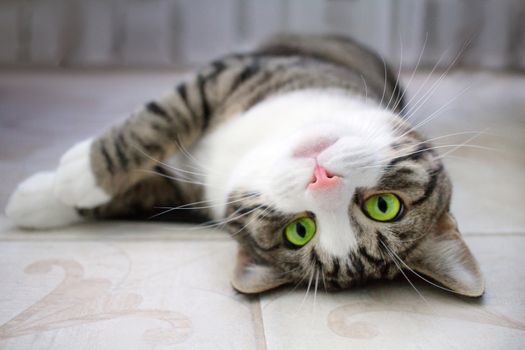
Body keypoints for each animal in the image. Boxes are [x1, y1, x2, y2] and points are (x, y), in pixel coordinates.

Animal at [4, 35, 484, 296]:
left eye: (299, 230)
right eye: (385, 207)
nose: (323, 180)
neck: (254, 147)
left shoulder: (182, 196)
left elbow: (140, 187)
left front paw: (63, 186)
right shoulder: (233, 75)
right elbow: (163, 118)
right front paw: (57, 188)